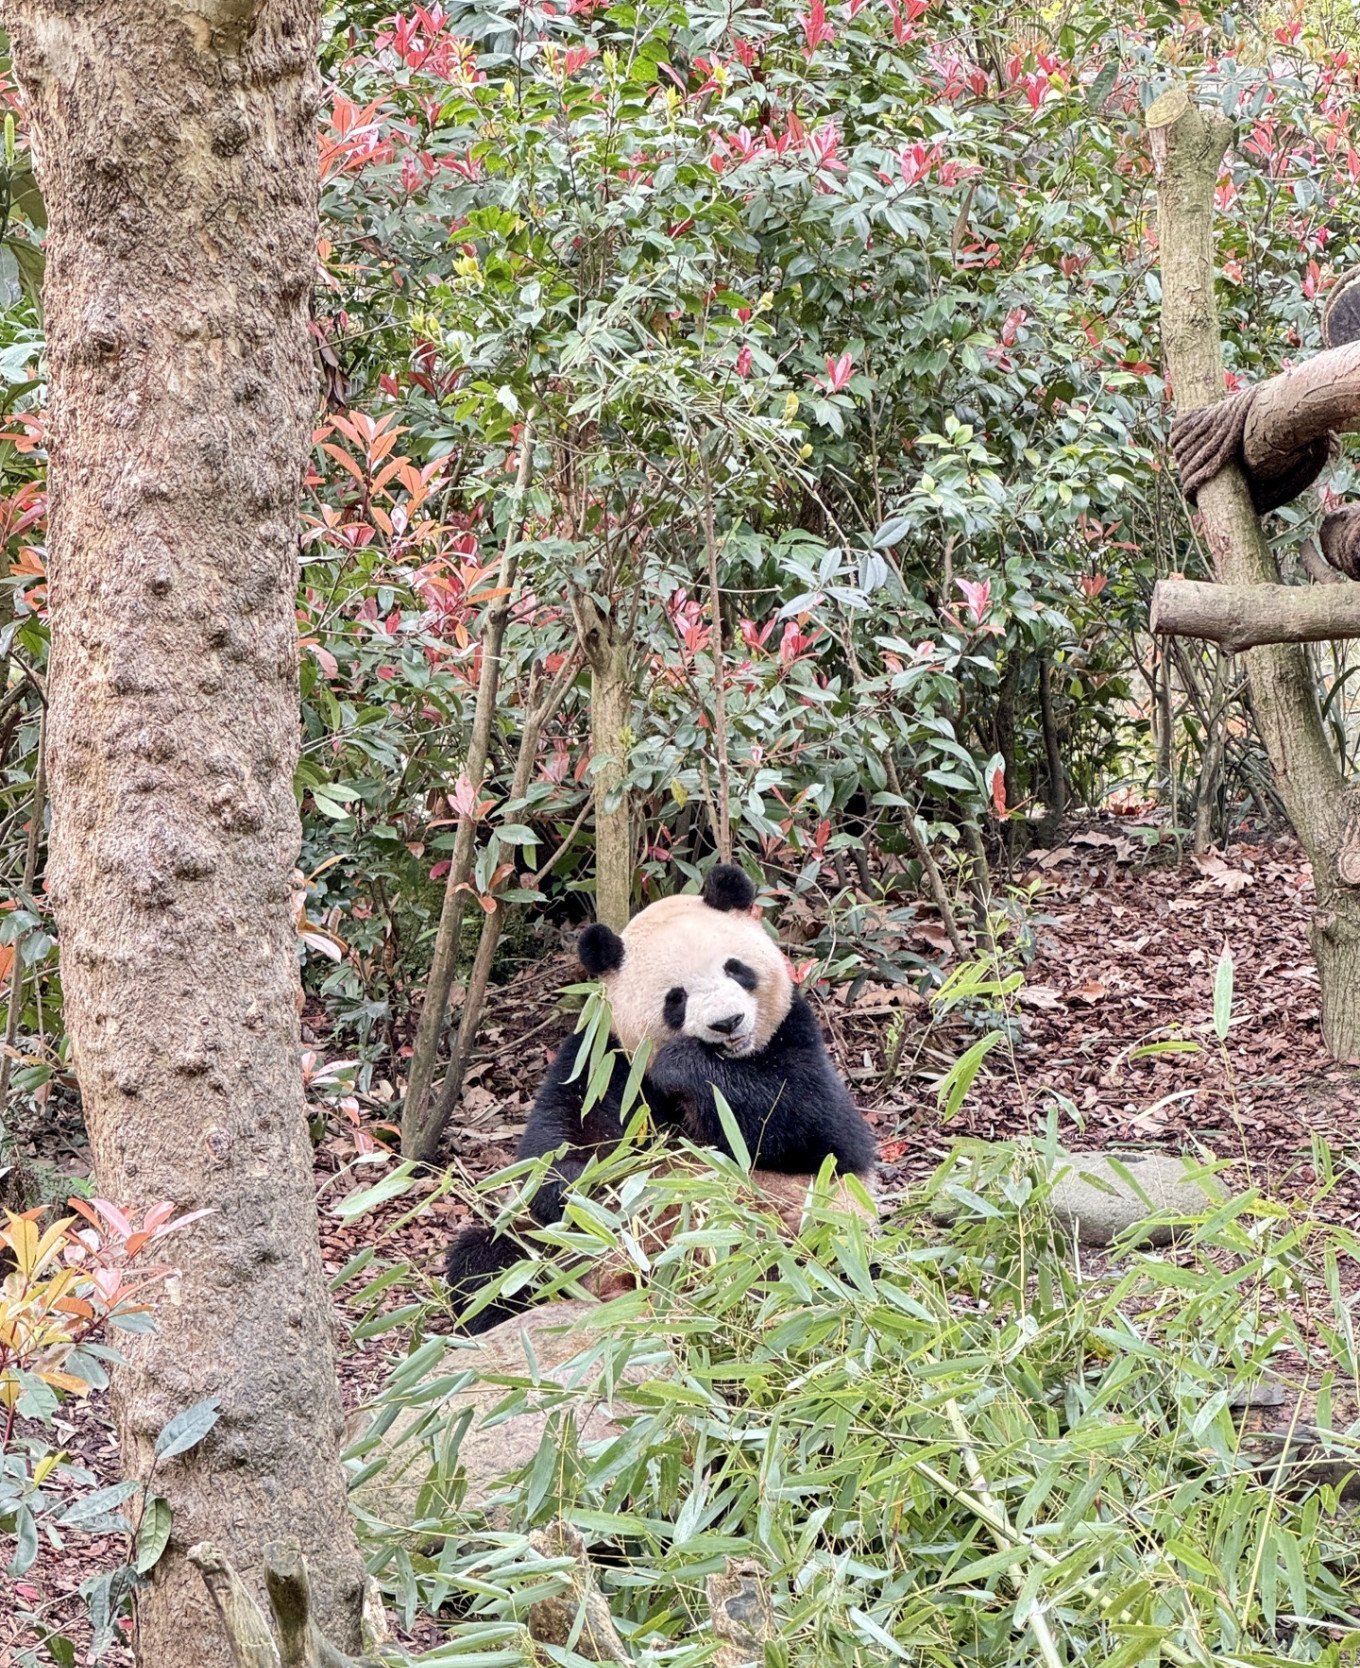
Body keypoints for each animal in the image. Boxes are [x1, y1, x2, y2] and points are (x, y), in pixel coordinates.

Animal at [444, 864, 877, 1333]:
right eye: (676, 997)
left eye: (735, 969)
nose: (728, 1022)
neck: (733, 1060)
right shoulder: (603, 1057)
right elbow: (556, 1145)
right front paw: (587, 1185)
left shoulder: (795, 1035)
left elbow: (821, 1126)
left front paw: (683, 1066)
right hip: (555, 1253)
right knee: (492, 1262)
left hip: (812, 1231)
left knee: (829, 1270)